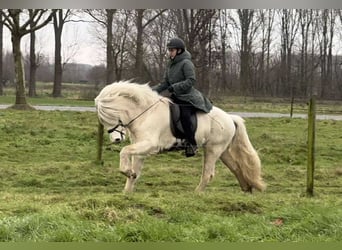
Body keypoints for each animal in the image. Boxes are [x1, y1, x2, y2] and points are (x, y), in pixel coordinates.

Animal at [95, 81, 266, 192]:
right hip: (222, 151)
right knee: (235, 167)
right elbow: (134, 171)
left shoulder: (150, 145)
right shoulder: (140, 148)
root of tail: (230, 118)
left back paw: (196, 194)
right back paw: (247, 188)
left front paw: (126, 171)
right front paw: (127, 191)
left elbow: (124, 151)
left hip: (213, 149)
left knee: (208, 174)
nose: (116, 139)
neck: (145, 113)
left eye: (111, 115)